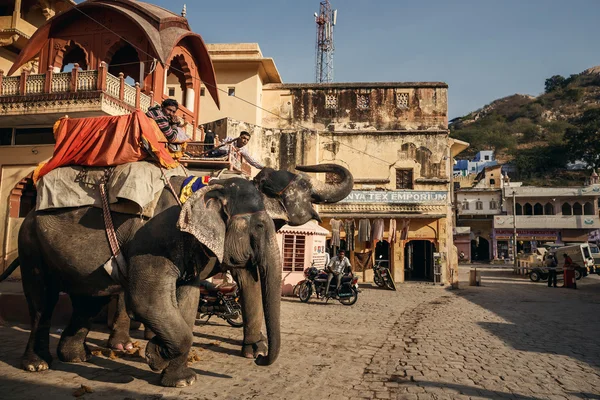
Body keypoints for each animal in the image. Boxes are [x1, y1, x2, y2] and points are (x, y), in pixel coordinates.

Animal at [0, 162, 354, 388]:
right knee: (43, 302)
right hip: (31, 245)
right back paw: (39, 364)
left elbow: (191, 295)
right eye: (255, 227)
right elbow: (147, 297)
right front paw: (166, 363)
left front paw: (166, 365)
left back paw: (79, 357)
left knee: (89, 300)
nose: (261, 361)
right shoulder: (155, 239)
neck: (212, 185)